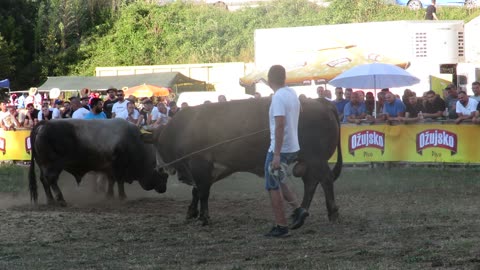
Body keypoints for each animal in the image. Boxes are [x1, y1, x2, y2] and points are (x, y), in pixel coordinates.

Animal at [28, 118, 168, 205]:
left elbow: (111, 181)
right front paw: (122, 197)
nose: (164, 189)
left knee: (44, 180)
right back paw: (60, 199)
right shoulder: (119, 166)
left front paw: (109, 196)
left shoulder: (110, 168)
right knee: (51, 179)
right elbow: (119, 181)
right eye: (164, 175)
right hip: (52, 165)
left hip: (43, 165)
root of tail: (44, 124)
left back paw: (50, 200)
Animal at [152, 97, 344, 226]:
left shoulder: (200, 165)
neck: (183, 128)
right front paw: (192, 212)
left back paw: (332, 212)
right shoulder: (213, 169)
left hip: (316, 158)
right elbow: (197, 191)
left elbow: (202, 192)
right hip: (309, 161)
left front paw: (204, 217)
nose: (159, 169)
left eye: (155, 145)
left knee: (325, 180)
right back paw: (301, 212)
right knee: (311, 182)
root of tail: (320, 102)